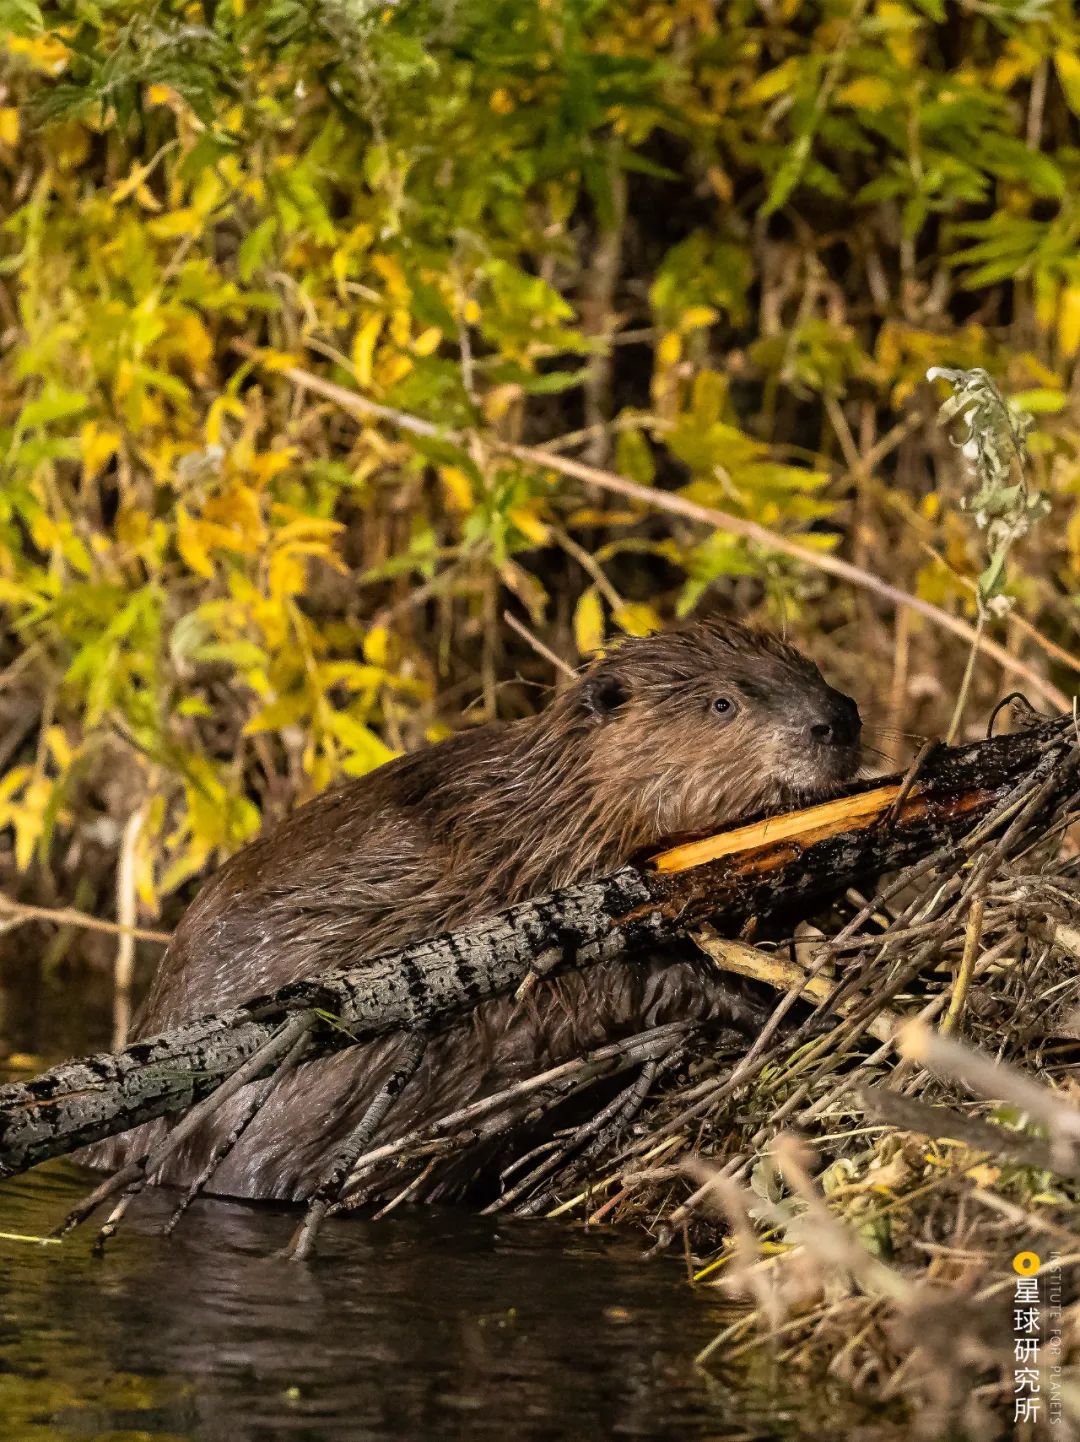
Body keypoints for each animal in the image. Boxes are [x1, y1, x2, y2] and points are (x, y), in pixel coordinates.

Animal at [90, 625, 859, 1199]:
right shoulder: (532, 903)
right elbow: (602, 988)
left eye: (811, 665)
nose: (838, 719)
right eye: (723, 704)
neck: (541, 818)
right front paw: (763, 1001)